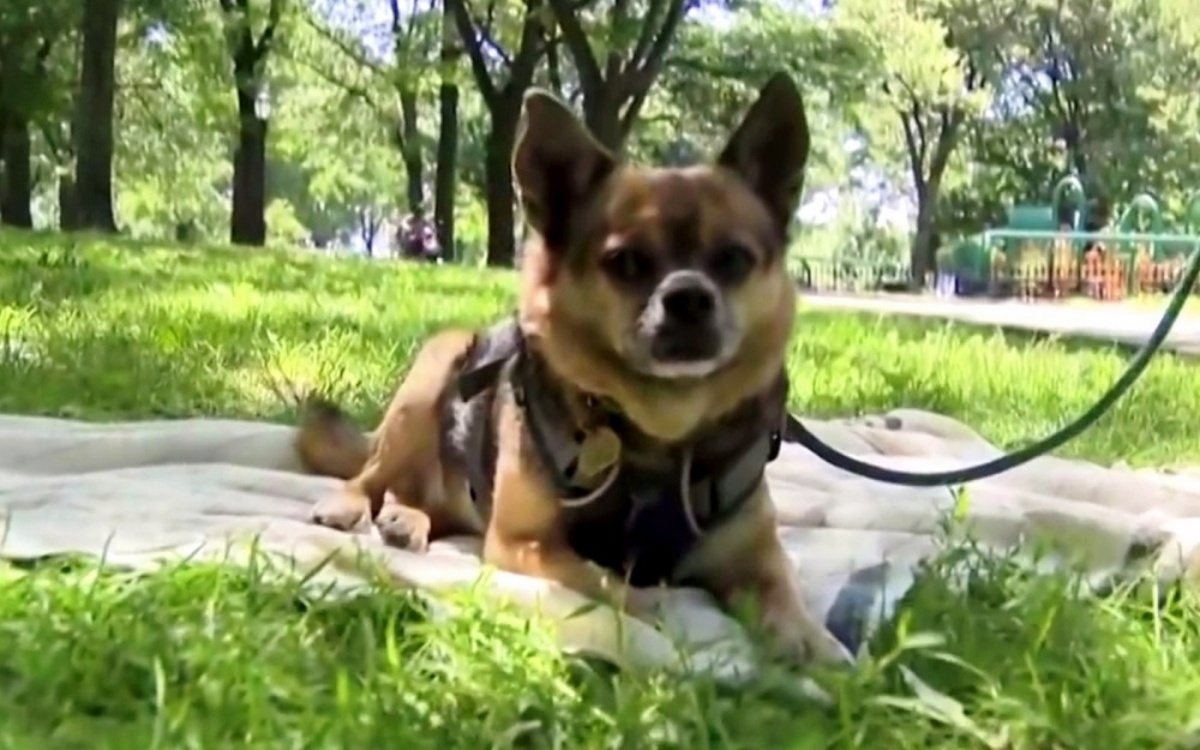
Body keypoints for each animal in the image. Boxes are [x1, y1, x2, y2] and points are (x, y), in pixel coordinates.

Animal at [294, 73, 849, 662]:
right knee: (375, 474)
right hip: (433, 373)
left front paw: (810, 640)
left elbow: (781, 590)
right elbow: (601, 580)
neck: (659, 431)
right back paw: (355, 503)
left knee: (422, 500)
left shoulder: (754, 557)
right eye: (625, 262)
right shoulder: (524, 542)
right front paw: (649, 607)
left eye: (735, 260)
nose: (689, 296)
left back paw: (408, 519)